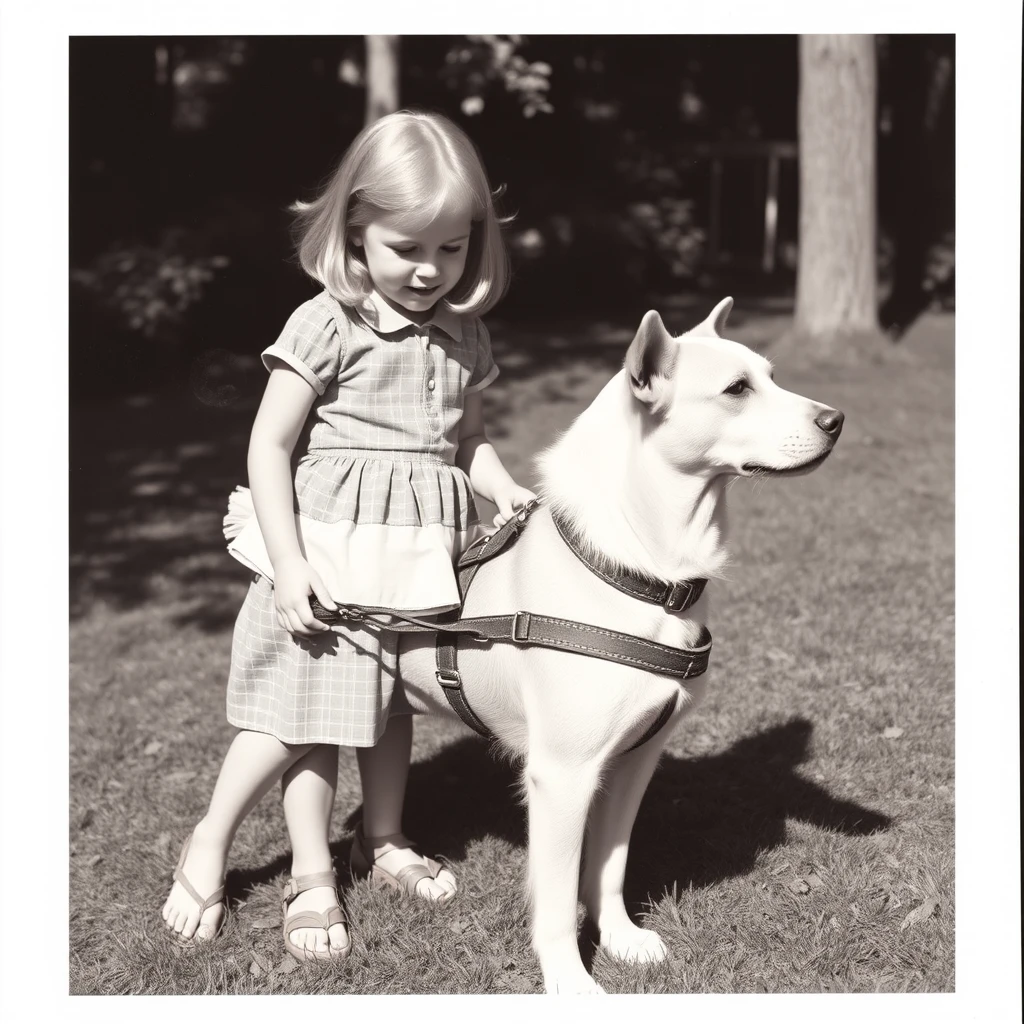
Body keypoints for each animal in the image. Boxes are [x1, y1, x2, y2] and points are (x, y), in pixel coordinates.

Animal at [387, 299, 843, 991]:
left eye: (771, 375)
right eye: (737, 389)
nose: (837, 420)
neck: (642, 572)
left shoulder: (634, 761)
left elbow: (610, 864)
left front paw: (621, 938)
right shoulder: (561, 775)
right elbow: (556, 896)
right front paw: (570, 982)